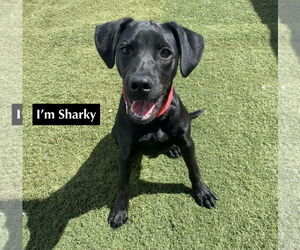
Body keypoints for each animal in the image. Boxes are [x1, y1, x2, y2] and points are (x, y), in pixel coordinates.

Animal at [95, 17, 217, 229]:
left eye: (165, 52)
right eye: (125, 49)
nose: (140, 84)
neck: (155, 121)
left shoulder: (187, 142)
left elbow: (194, 169)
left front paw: (202, 192)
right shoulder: (125, 152)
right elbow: (122, 184)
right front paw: (119, 210)